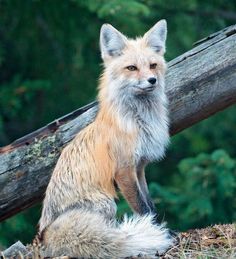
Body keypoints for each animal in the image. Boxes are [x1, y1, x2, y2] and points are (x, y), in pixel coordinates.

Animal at [38, 20, 174, 259]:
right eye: (132, 68)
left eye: (153, 65)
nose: (152, 80)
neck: (140, 122)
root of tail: (45, 236)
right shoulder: (124, 170)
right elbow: (143, 208)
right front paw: (155, 231)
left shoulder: (139, 167)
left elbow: (150, 205)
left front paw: (158, 228)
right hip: (107, 202)